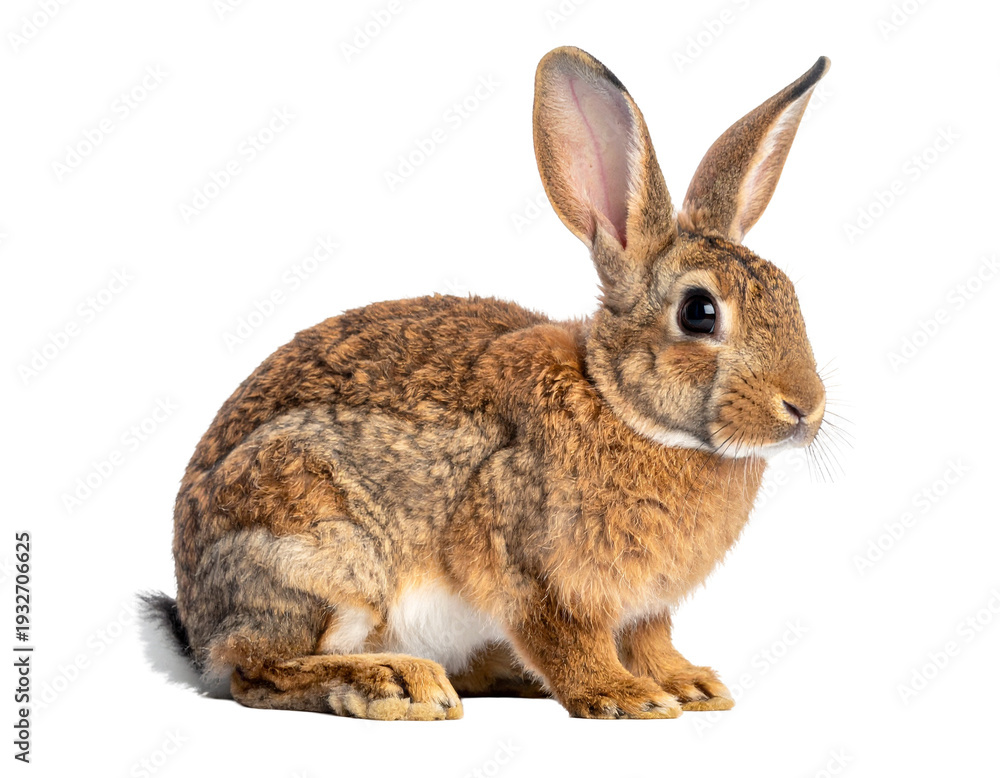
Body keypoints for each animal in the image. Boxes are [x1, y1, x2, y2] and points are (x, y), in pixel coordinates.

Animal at [146, 46, 830, 720]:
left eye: (792, 294)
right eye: (699, 312)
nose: (806, 407)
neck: (618, 403)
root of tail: (198, 622)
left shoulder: (644, 604)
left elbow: (649, 638)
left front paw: (690, 686)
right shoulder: (528, 564)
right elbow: (566, 637)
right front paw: (624, 696)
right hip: (314, 548)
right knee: (257, 672)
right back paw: (397, 683)